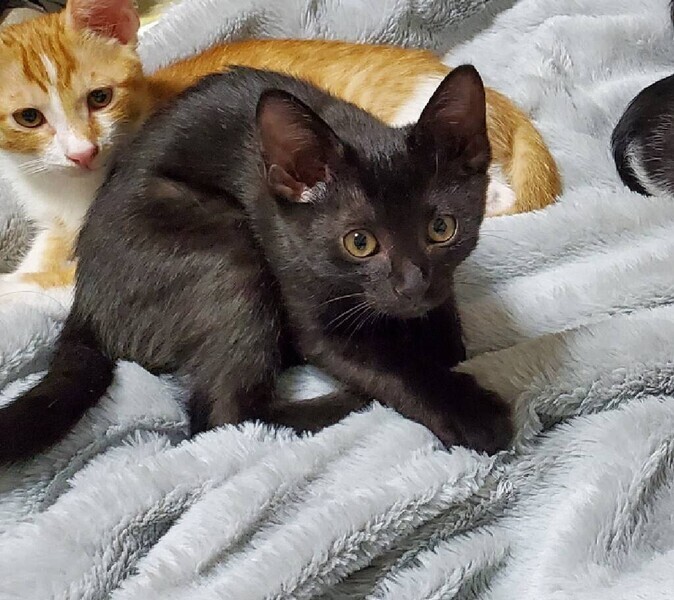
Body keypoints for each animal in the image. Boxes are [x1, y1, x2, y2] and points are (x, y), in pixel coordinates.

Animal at [0, 0, 560, 301]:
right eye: (29, 118)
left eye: (100, 98)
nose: (82, 153)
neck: (68, 191)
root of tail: (502, 103)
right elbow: (37, 258)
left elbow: (36, 281)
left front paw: (14, 292)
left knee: (495, 191)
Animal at [0, 64, 513, 464]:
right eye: (359, 242)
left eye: (441, 229)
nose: (411, 285)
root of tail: (85, 301)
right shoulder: (306, 300)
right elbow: (385, 365)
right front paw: (470, 413)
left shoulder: (438, 290)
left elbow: (448, 335)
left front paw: (437, 341)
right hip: (227, 245)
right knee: (227, 418)